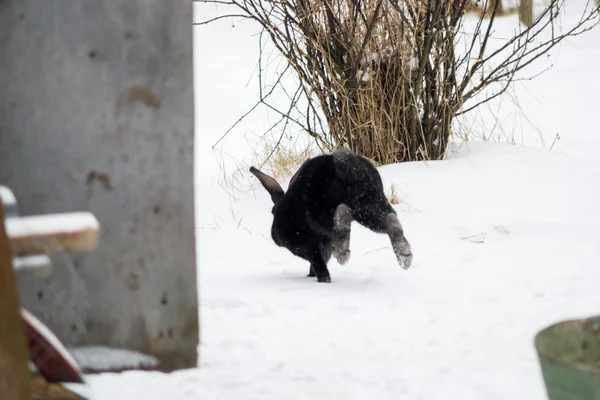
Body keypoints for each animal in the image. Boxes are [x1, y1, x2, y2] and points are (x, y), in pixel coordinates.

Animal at [250, 146, 412, 282]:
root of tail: (347, 165)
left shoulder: (305, 246)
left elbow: (319, 266)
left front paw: (322, 279)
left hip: (323, 211)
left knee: (343, 211)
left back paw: (341, 252)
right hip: (370, 209)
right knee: (391, 219)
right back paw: (405, 255)